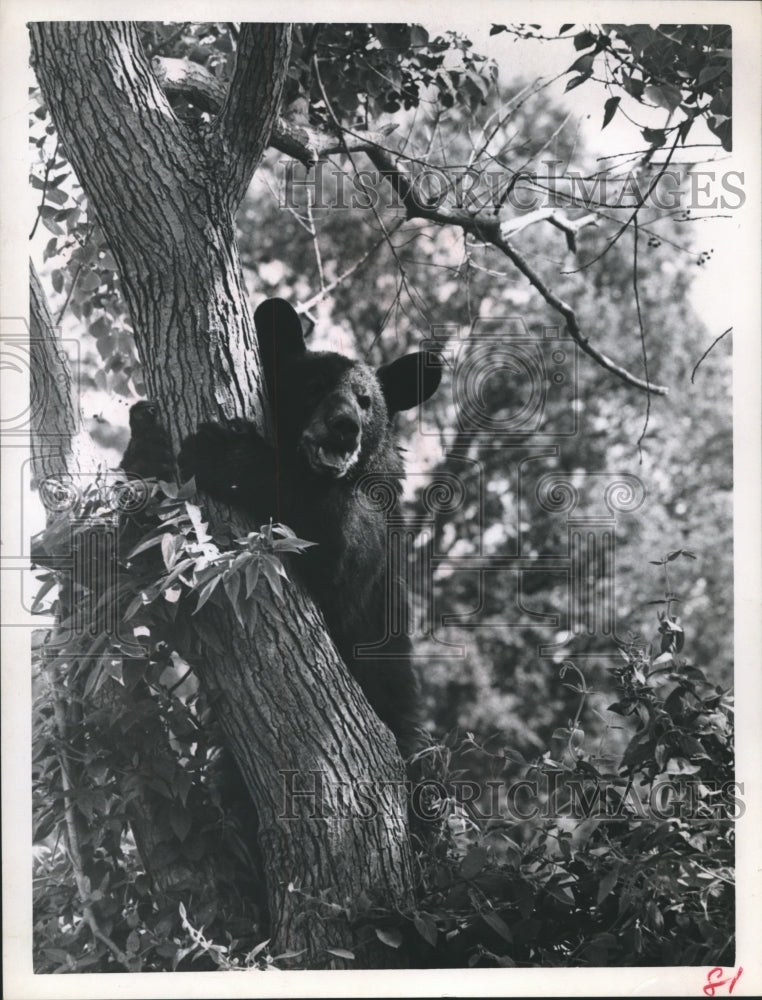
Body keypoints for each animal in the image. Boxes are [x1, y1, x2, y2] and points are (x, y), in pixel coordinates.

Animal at [179, 296, 440, 756]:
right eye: (313, 387)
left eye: (365, 400)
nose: (345, 427)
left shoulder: (376, 514)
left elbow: (341, 553)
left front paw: (219, 452)